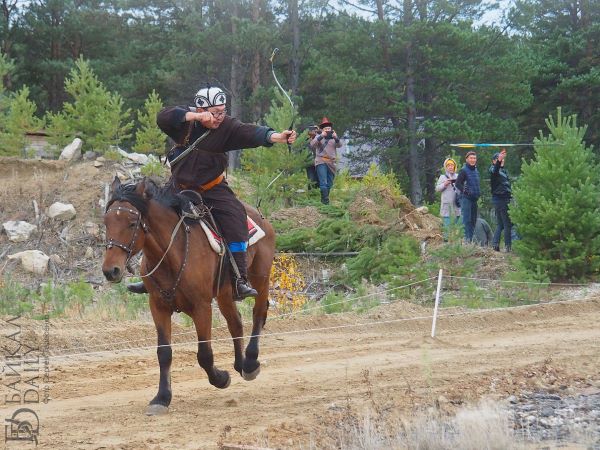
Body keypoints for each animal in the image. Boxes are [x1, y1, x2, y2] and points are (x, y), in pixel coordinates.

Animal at [101, 178, 274, 416]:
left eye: (132, 223)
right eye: (106, 223)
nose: (111, 270)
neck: (171, 254)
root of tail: (261, 217)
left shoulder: (201, 307)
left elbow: (204, 354)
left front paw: (221, 378)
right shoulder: (158, 307)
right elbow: (164, 353)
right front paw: (162, 398)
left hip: (261, 278)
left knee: (259, 314)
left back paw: (250, 363)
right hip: (224, 292)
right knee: (236, 323)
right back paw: (240, 364)